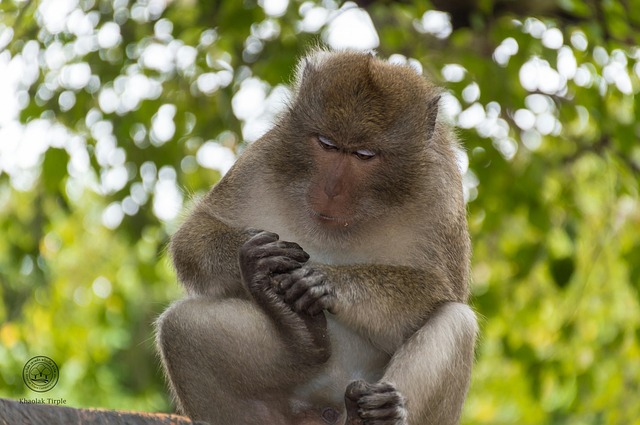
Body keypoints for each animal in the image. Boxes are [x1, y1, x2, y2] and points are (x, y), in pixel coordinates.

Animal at [154, 49, 476, 424]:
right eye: (326, 144)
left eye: (364, 155)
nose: (331, 189)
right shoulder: (271, 153)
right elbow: (195, 235)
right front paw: (257, 260)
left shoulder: (442, 188)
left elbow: (441, 288)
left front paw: (328, 281)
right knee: (180, 327)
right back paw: (300, 339)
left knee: (457, 322)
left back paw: (377, 414)